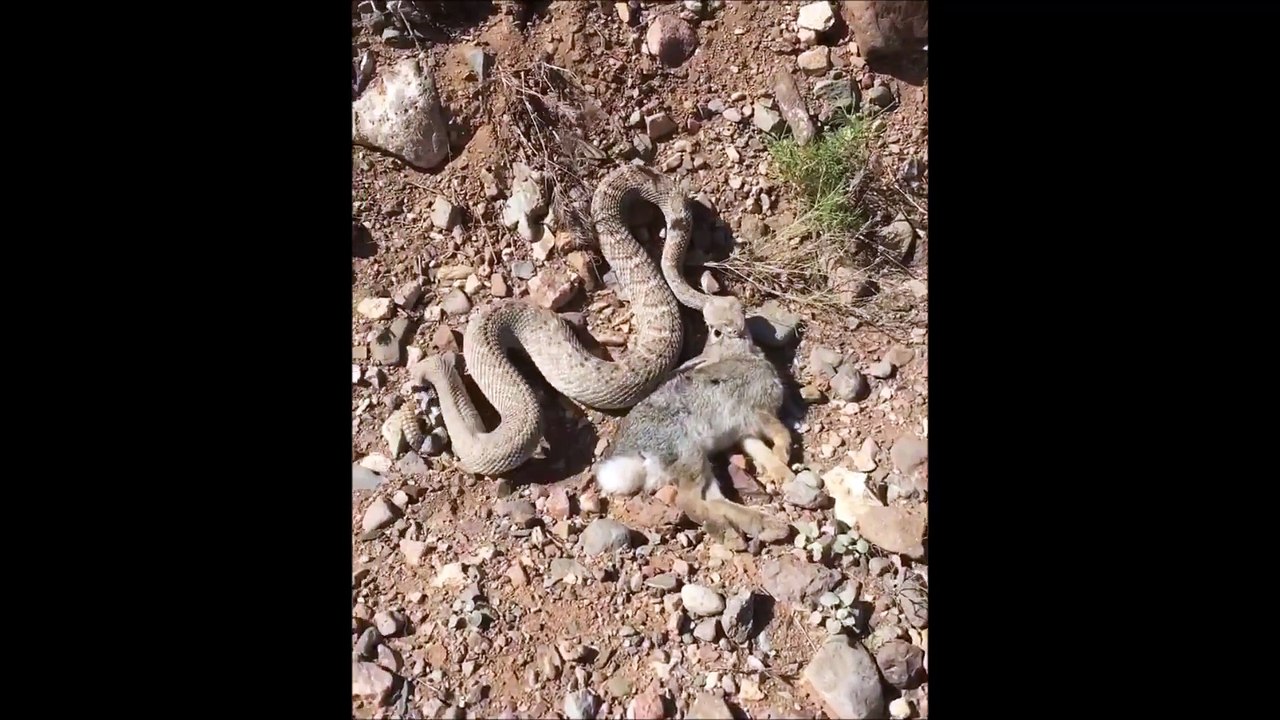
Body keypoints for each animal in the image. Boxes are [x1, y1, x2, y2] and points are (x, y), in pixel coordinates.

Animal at [594, 295, 795, 542]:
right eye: (716, 330)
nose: (737, 318)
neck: (736, 354)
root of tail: (638, 458)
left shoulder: (745, 433)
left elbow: (762, 452)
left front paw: (786, 476)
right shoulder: (757, 412)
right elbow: (781, 432)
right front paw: (784, 456)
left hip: (698, 462)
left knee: (714, 499)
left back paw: (768, 525)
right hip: (689, 455)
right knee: (689, 502)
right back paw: (728, 530)